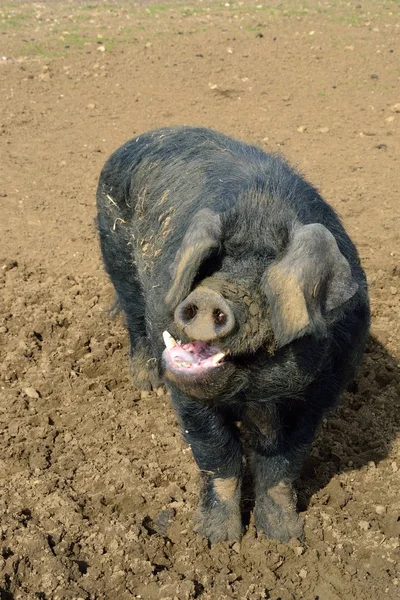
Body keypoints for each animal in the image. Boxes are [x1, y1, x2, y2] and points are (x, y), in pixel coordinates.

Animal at [95, 126, 370, 544]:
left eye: (266, 277)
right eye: (213, 264)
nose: (208, 296)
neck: (255, 394)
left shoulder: (322, 394)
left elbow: (283, 464)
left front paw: (285, 538)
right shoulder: (188, 395)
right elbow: (218, 455)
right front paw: (218, 540)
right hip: (115, 253)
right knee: (134, 316)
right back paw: (146, 384)